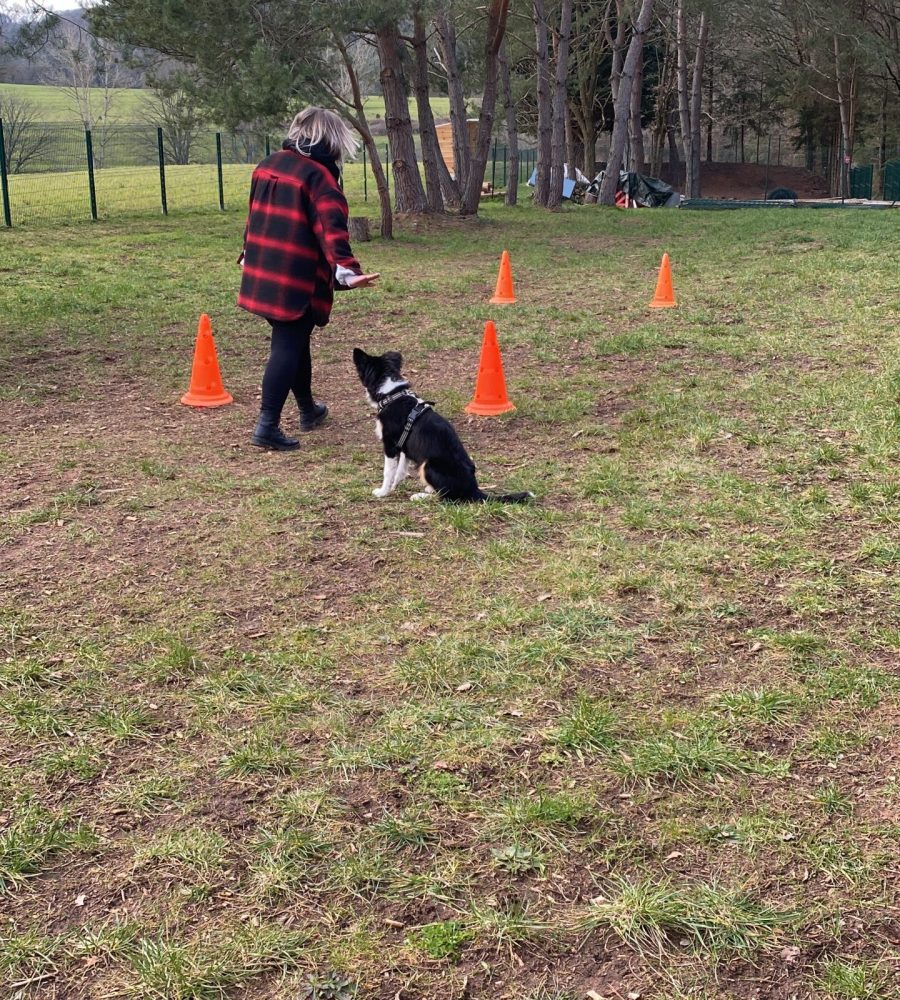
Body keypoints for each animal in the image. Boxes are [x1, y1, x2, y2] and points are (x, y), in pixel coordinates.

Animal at [352, 348, 536, 504]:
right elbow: (400, 471)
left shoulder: (390, 445)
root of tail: (474, 489)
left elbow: (388, 471)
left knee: (447, 498)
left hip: (428, 464)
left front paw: (383, 492)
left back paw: (421, 496)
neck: (392, 394)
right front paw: (394, 487)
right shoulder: (405, 446)